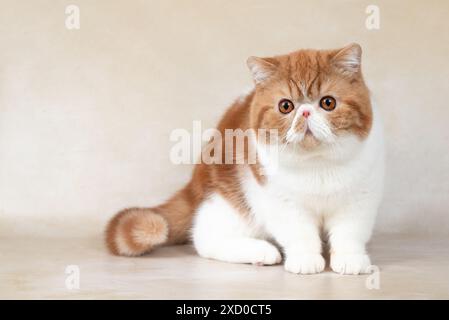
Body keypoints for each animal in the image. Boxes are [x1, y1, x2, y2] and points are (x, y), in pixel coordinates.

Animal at [104, 43, 382, 276]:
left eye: (328, 102)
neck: (318, 164)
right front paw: (305, 259)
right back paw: (261, 251)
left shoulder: (360, 197)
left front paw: (350, 259)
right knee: (204, 237)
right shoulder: (280, 200)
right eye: (285, 106)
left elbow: (349, 232)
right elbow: (300, 233)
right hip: (228, 203)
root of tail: (195, 183)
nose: (304, 112)